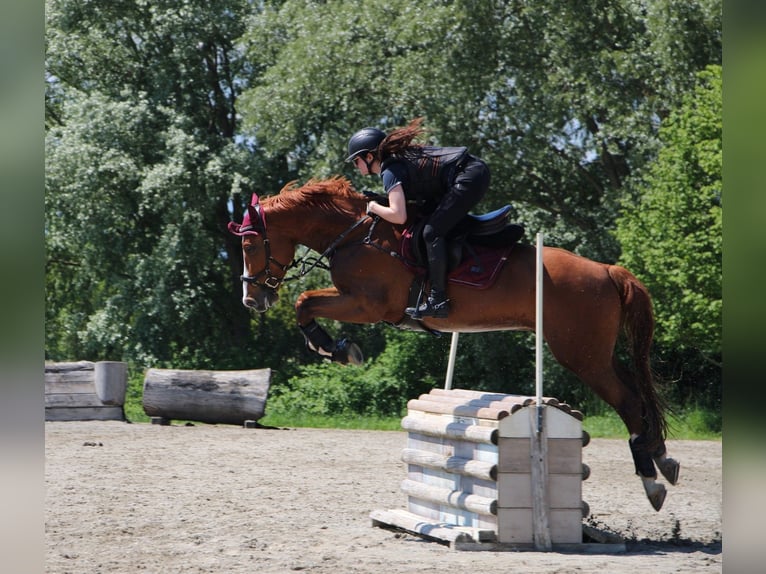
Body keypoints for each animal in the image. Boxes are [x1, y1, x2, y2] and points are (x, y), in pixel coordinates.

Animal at [225, 177, 680, 512]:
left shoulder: (369, 305)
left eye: (248, 244)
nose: (251, 300)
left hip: (581, 355)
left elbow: (304, 302)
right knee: (638, 395)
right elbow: (306, 303)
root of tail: (607, 270)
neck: (355, 235)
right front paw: (334, 347)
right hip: (595, 352)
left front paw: (336, 349)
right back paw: (662, 457)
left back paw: (651, 480)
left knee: (627, 400)